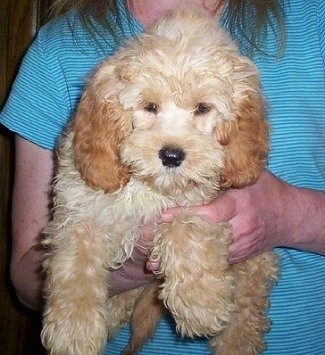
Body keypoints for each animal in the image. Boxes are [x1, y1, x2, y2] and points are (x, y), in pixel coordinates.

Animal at [41, 5, 278, 355]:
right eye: (149, 106)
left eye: (203, 108)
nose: (172, 155)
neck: (150, 187)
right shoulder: (82, 210)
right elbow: (75, 267)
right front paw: (73, 331)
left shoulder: (205, 203)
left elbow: (187, 230)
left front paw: (200, 303)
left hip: (253, 266)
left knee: (246, 314)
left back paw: (237, 341)